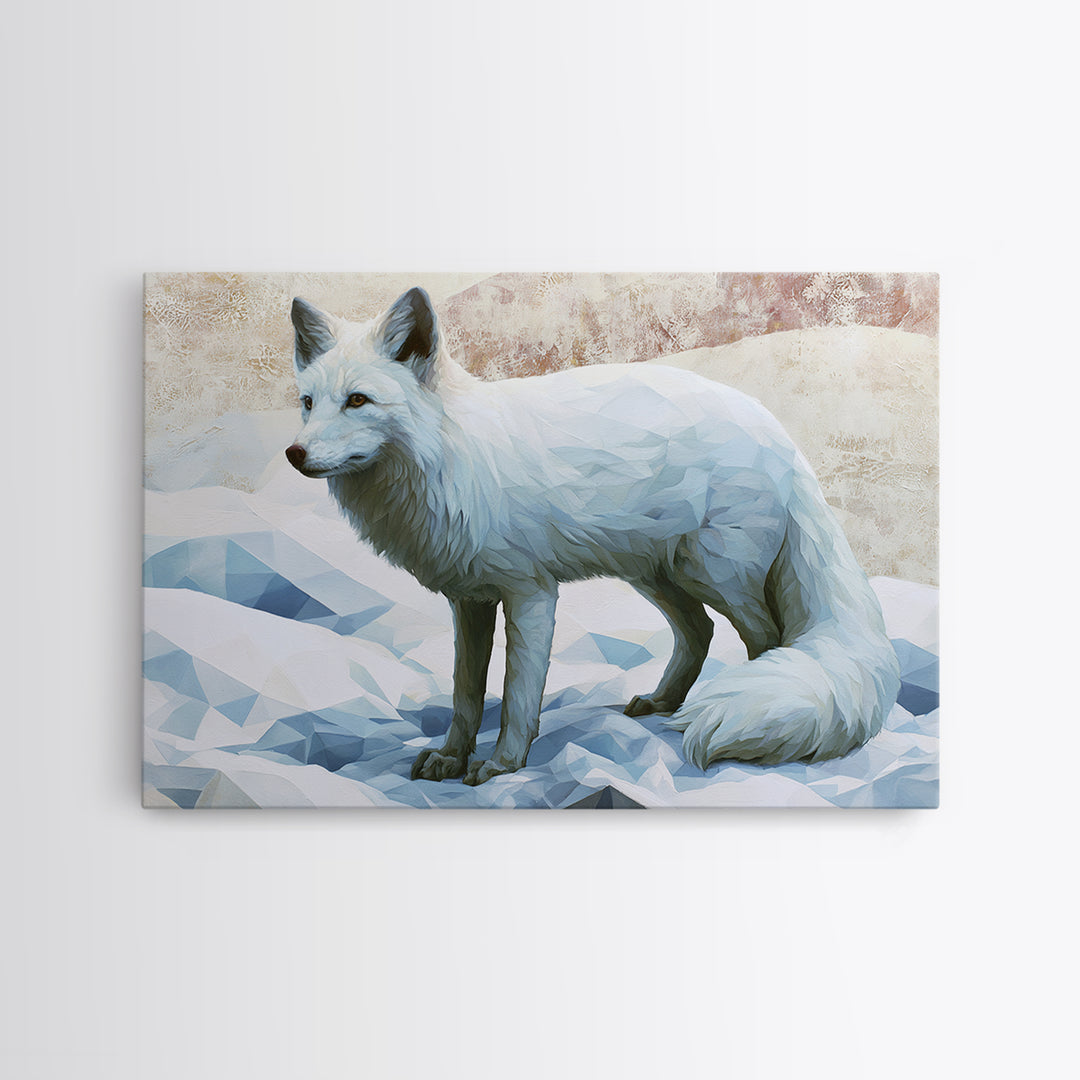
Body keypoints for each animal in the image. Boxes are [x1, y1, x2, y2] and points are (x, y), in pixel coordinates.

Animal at [284, 286, 901, 786]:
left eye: (358, 401)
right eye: (308, 403)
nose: (294, 454)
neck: (454, 461)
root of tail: (781, 434)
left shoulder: (531, 594)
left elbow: (517, 696)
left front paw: (502, 765)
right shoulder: (470, 600)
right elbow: (465, 695)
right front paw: (451, 757)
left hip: (714, 574)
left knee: (768, 639)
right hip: (657, 576)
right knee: (699, 632)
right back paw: (663, 702)